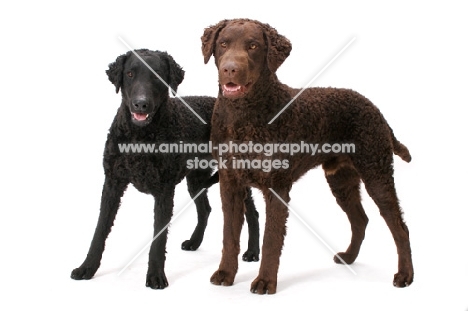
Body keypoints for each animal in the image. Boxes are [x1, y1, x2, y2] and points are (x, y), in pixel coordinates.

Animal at [72, 48, 260, 290]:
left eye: (157, 76)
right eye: (130, 73)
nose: (140, 104)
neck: (139, 138)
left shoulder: (164, 190)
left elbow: (158, 239)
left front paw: (155, 276)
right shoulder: (112, 183)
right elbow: (100, 230)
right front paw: (87, 268)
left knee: (251, 213)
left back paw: (253, 251)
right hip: (196, 179)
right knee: (205, 209)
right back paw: (195, 242)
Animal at [201, 18, 414, 296]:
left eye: (253, 46)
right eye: (223, 44)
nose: (230, 69)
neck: (243, 117)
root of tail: (376, 109)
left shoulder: (277, 187)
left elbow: (271, 239)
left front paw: (265, 281)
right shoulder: (230, 183)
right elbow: (229, 235)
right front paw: (226, 273)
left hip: (376, 172)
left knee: (400, 227)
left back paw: (405, 275)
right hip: (341, 180)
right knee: (360, 219)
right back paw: (349, 256)